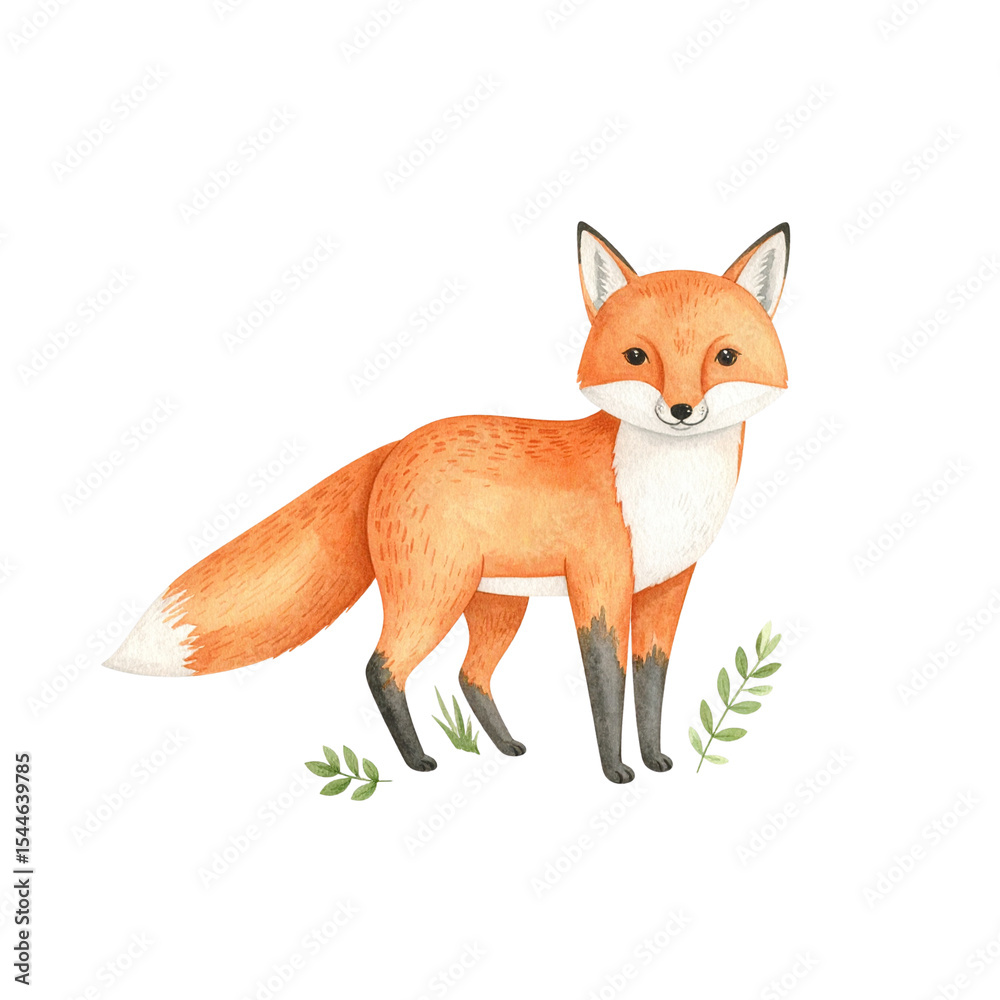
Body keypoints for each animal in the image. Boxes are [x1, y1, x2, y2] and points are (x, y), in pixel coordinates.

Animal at [106, 222, 789, 783]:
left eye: (725, 358)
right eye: (637, 357)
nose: (681, 411)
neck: (667, 490)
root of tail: (399, 444)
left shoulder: (665, 588)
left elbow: (651, 685)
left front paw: (654, 760)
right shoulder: (599, 584)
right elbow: (608, 688)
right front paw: (615, 771)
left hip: (495, 603)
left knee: (469, 675)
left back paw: (506, 747)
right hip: (435, 590)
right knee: (382, 668)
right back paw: (417, 761)